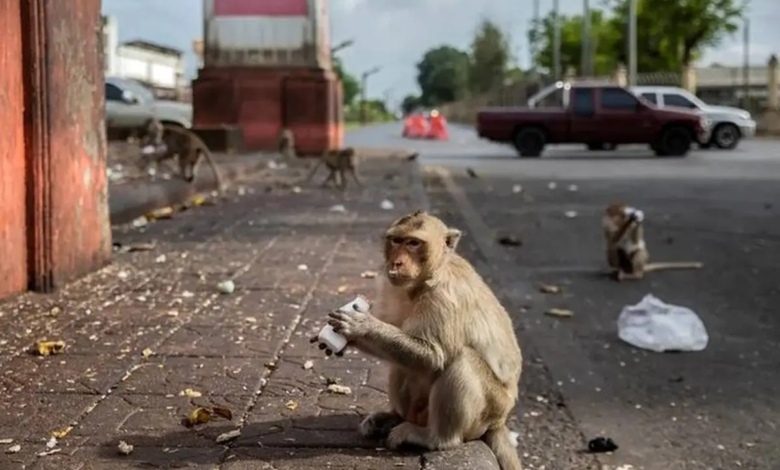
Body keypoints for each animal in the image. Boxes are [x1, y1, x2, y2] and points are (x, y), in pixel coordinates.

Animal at [310, 210, 524, 470]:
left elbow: (433, 357)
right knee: (401, 361)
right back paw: (394, 417)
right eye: (396, 241)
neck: (423, 281)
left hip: (490, 410)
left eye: (413, 243)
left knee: (462, 361)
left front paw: (361, 326)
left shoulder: (444, 296)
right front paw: (346, 337)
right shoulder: (390, 285)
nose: (396, 263)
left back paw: (435, 438)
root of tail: (499, 422)